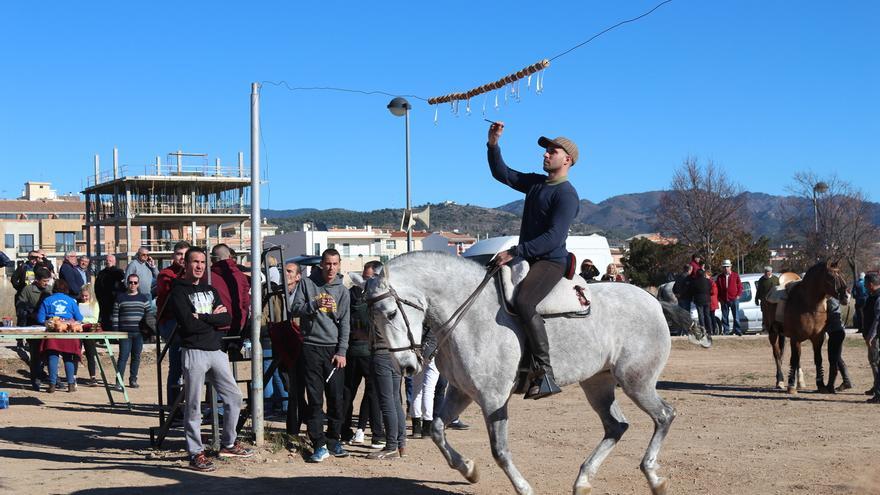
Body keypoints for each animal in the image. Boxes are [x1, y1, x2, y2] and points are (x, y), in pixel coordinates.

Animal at [360, 254, 684, 494]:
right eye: (372, 319)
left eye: (390, 313)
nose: (406, 367)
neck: (470, 314)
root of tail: (652, 301)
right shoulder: (461, 391)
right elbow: (438, 430)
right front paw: (469, 470)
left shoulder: (493, 398)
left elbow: (500, 451)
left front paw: (523, 487)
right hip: (598, 383)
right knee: (616, 425)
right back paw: (583, 480)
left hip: (636, 381)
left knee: (664, 416)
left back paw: (653, 477)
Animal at [768, 264, 848, 396]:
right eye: (831, 278)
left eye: (842, 275)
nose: (846, 296)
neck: (809, 306)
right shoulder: (795, 338)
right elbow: (793, 360)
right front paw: (791, 386)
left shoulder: (817, 339)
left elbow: (818, 359)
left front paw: (821, 384)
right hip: (773, 333)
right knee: (777, 354)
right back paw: (780, 381)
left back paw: (800, 382)